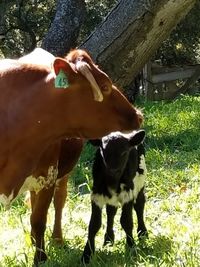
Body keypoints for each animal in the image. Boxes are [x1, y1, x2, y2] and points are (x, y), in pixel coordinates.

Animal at [81, 130, 148, 264]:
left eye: (124, 152)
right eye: (103, 151)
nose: (113, 170)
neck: (113, 182)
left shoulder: (128, 193)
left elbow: (126, 221)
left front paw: (131, 248)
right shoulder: (96, 195)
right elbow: (94, 224)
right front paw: (87, 255)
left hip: (140, 181)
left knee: (139, 205)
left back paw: (142, 232)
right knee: (111, 211)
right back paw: (108, 239)